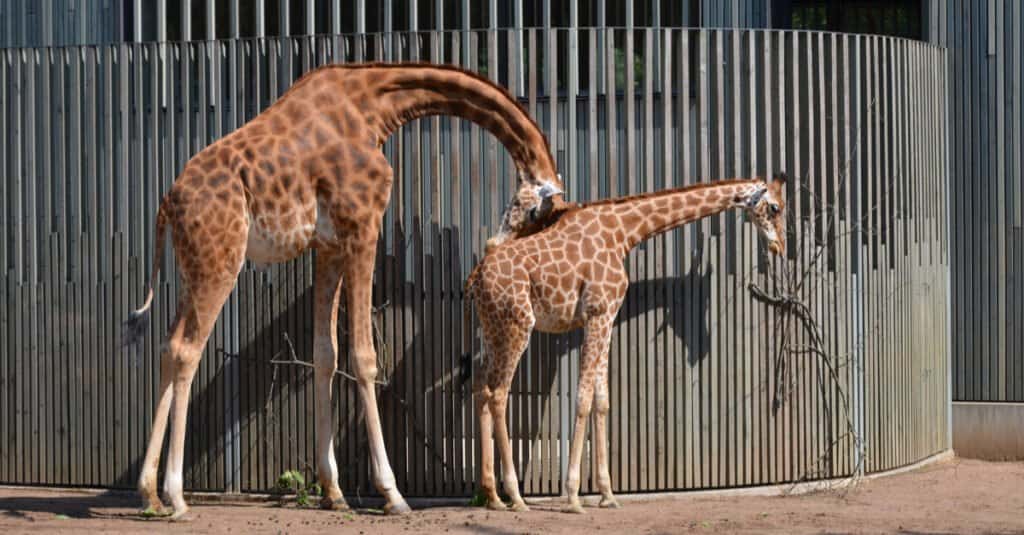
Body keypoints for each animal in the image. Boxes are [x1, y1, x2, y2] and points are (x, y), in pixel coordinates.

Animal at [125, 62, 569, 516]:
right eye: (537, 212)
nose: (496, 248)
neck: (375, 105)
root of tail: (167, 204)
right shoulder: (363, 224)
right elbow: (364, 356)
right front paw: (392, 494)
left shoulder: (330, 245)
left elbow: (326, 354)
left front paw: (333, 491)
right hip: (220, 260)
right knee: (186, 351)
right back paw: (177, 496)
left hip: (193, 267)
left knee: (167, 347)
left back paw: (149, 493)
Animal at [468, 173, 786, 510]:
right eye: (775, 207)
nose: (779, 246)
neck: (622, 232)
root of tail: (476, 278)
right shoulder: (597, 313)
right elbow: (582, 399)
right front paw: (573, 496)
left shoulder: (607, 318)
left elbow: (602, 401)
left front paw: (607, 494)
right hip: (517, 325)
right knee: (499, 394)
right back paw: (516, 496)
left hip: (493, 329)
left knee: (481, 388)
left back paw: (492, 496)